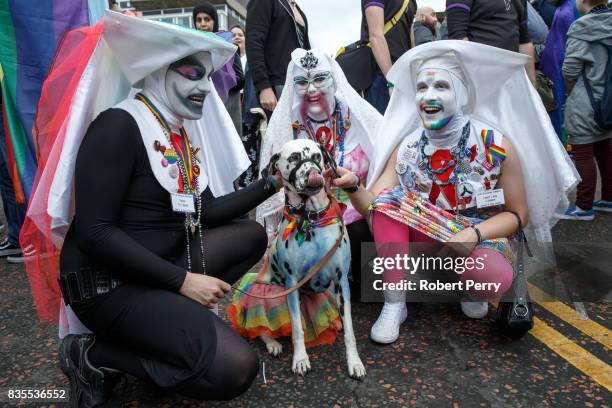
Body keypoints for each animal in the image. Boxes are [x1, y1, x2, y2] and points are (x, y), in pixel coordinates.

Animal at [262, 139, 364, 378]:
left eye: (317, 157)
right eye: (293, 158)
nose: (313, 174)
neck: (311, 220)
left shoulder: (341, 282)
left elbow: (350, 331)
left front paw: (354, 362)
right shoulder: (292, 284)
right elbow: (297, 329)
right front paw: (300, 359)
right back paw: (272, 344)